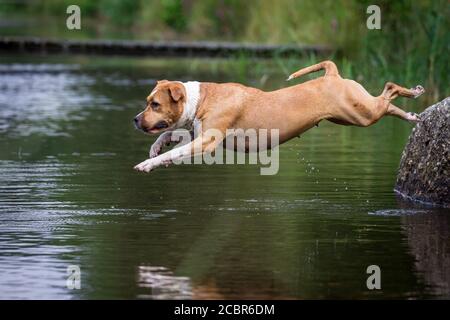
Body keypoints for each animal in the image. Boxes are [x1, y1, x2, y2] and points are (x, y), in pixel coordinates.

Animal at [133, 61, 422, 174]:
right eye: (148, 102)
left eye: (155, 104)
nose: (135, 119)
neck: (200, 100)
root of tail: (332, 74)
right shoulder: (195, 133)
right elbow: (169, 134)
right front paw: (156, 147)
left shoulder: (206, 142)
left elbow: (174, 152)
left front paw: (148, 164)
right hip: (353, 114)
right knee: (388, 105)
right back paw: (412, 116)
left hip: (360, 113)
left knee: (388, 91)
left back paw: (415, 91)